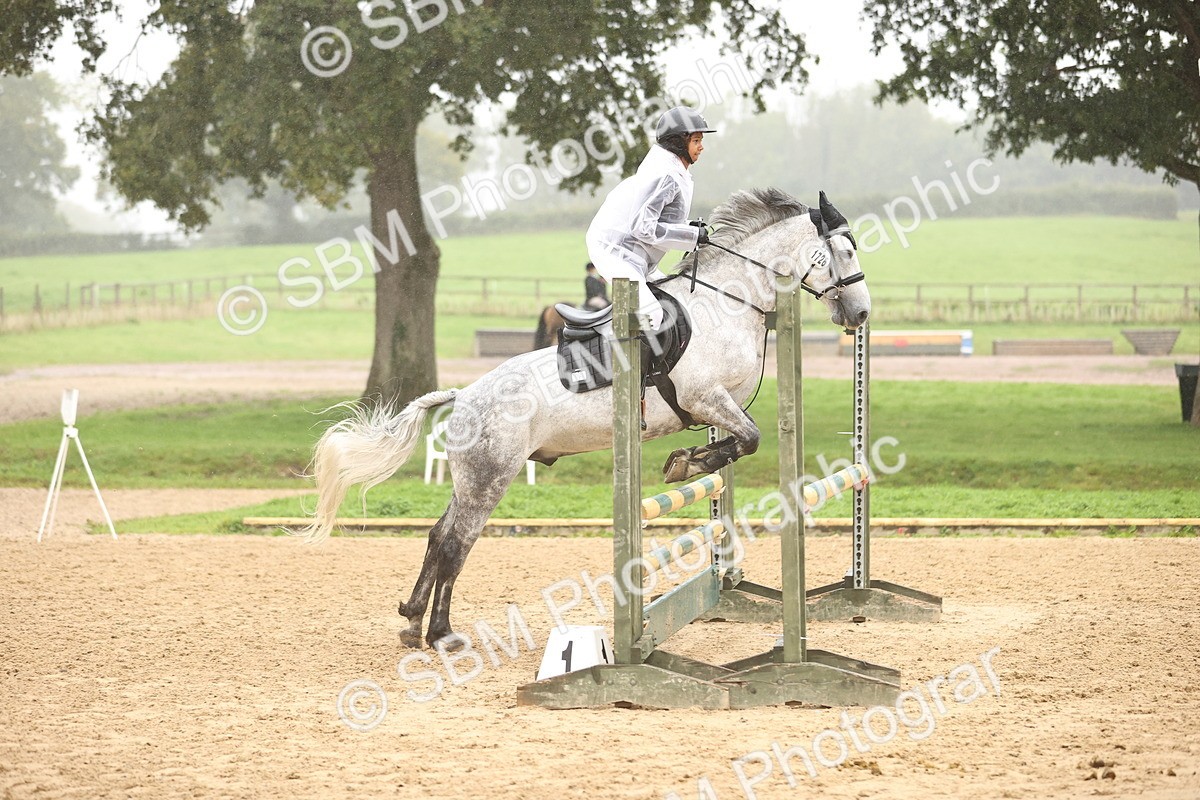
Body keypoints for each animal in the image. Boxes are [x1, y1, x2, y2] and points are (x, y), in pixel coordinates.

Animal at [296, 188, 871, 650]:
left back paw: (413, 621)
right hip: (489, 477)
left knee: (439, 537)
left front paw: (692, 459)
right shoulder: (706, 398)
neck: (727, 304)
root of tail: (463, 396)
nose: (861, 314)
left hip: (471, 479)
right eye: (843, 251)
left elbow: (737, 447)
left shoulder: (721, 404)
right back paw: (440, 633)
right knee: (457, 543)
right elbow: (748, 439)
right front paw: (688, 463)